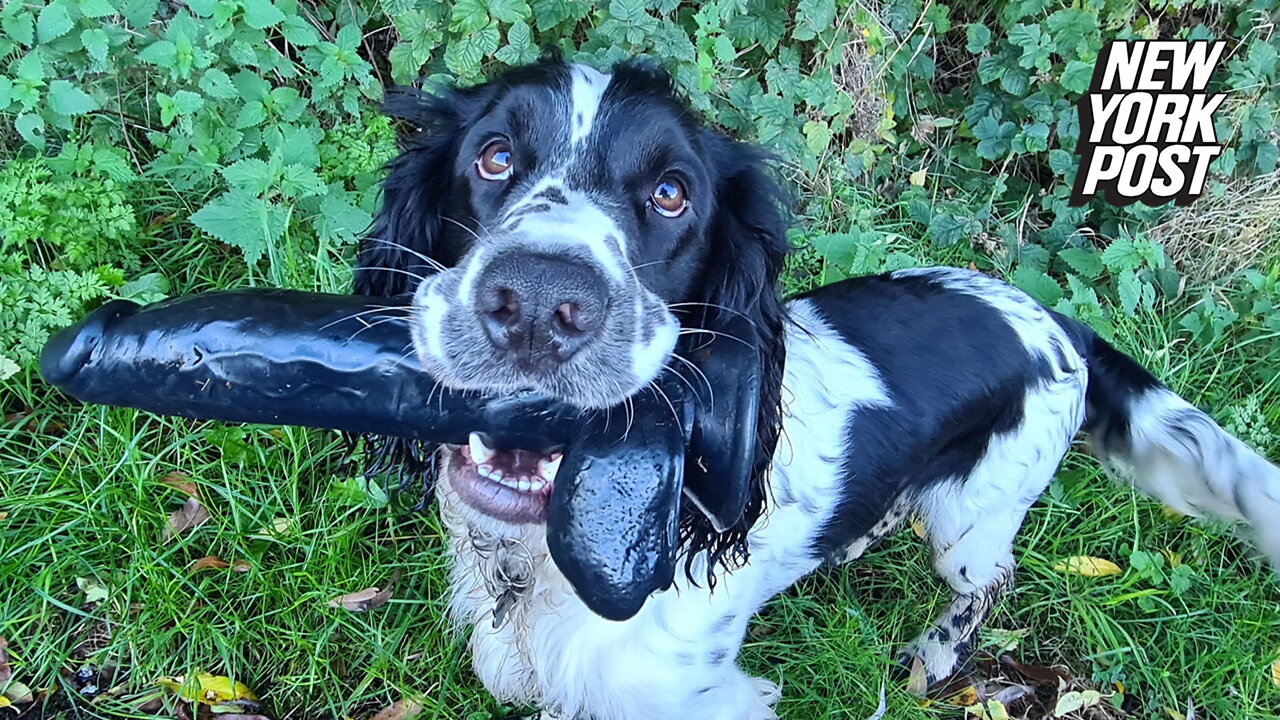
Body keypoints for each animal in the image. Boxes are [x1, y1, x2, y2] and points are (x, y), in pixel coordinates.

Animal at [350, 58, 1280, 712]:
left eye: (672, 192)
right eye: (494, 156)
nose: (541, 303)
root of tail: (1059, 322)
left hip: (975, 516)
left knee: (991, 579)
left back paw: (937, 653)